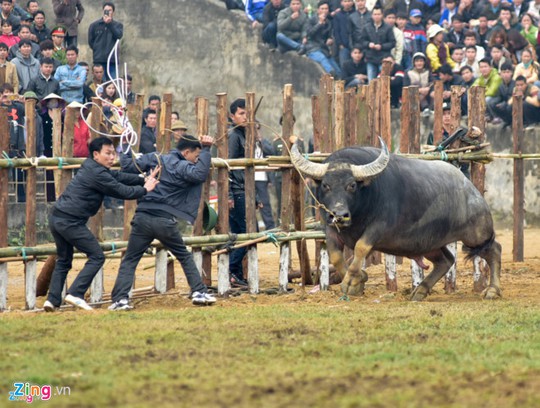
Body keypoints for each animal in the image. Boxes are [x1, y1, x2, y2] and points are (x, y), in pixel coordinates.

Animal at [292, 139, 502, 302]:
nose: (339, 215)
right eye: (326, 185)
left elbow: (361, 247)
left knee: (494, 250)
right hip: (428, 243)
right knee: (446, 260)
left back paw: (492, 290)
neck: (359, 210)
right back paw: (420, 291)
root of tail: (471, 189)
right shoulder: (330, 229)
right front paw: (360, 279)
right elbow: (336, 256)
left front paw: (352, 282)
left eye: (351, 185)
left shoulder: (378, 228)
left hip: (476, 233)